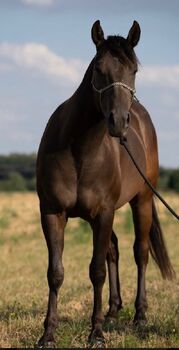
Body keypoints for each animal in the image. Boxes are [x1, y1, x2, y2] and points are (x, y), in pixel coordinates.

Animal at [36, 20, 175, 346]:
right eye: (99, 68)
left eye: (134, 70)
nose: (119, 122)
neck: (79, 151)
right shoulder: (52, 213)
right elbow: (55, 272)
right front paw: (48, 333)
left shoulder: (104, 213)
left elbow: (96, 271)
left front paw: (96, 333)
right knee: (114, 250)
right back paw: (113, 311)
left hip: (141, 202)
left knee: (140, 252)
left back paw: (139, 316)